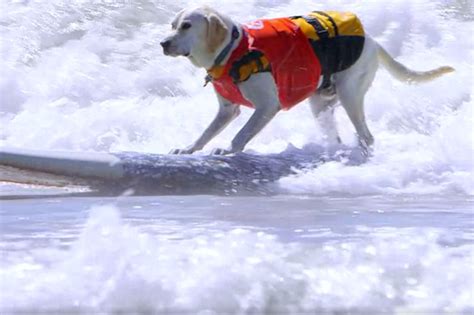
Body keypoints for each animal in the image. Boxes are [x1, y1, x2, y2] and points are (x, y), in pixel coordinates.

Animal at [161, 5, 454, 156]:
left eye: (187, 26)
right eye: (173, 25)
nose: (163, 43)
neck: (233, 50)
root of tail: (373, 41)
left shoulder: (267, 107)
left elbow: (240, 135)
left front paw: (228, 151)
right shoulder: (227, 110)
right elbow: (206, 133)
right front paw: (189, 149)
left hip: (350, 94)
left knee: (367, 137)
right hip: (321, 104)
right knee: (336, 137)